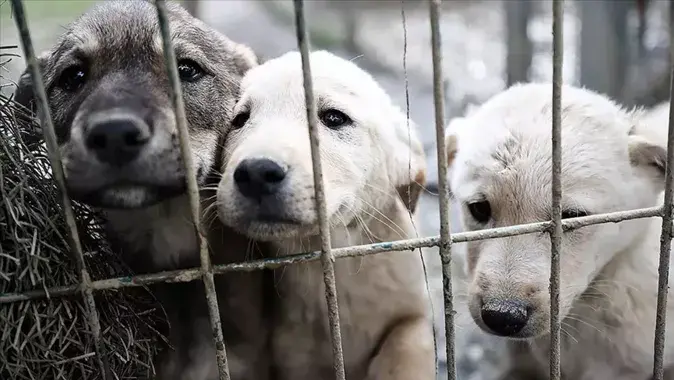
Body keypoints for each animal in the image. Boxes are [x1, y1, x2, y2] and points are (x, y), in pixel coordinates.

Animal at [215, 51, 436, 380]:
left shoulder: (414, 310)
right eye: (239, 120)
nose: (256, 173)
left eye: (334, 118)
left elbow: (409, 343)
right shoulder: (293, 356)